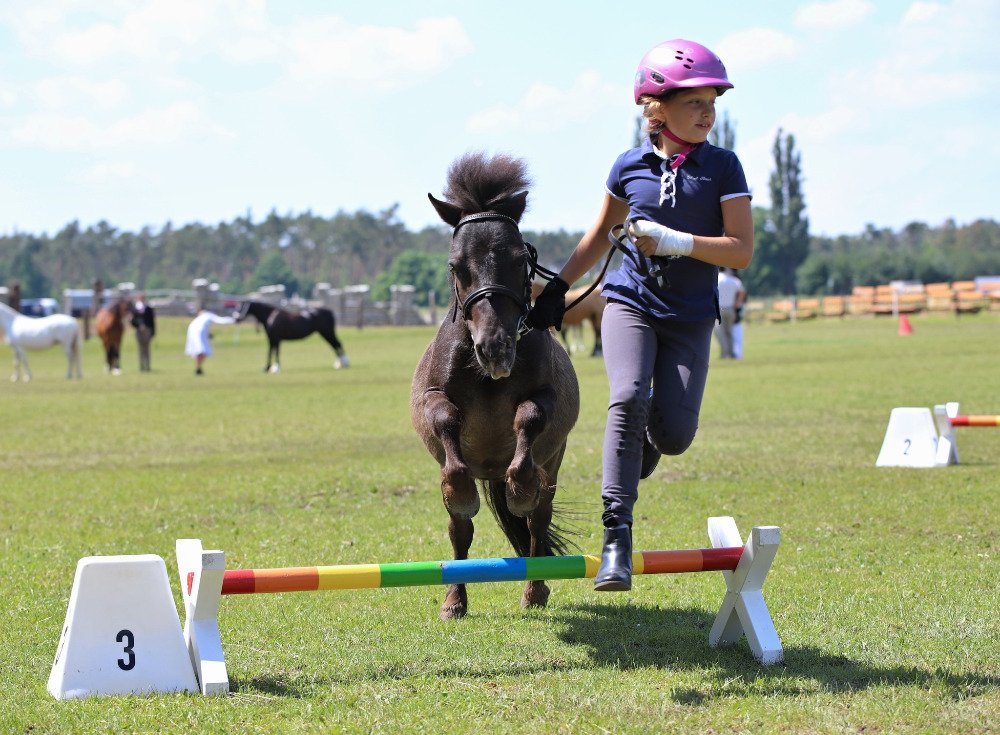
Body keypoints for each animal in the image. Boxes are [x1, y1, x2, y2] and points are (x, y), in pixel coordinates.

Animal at [408, 154, 580, 620]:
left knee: (538, 521)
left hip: (553, 464)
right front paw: (460, 489)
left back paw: (535, 590)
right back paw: (454, 599)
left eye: (521, 259)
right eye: (455, 266)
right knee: (459, 531)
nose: (496, 348)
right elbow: (445, 418)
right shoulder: (433, 397)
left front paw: (519, 487)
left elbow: (529, 417)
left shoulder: (546, 398)